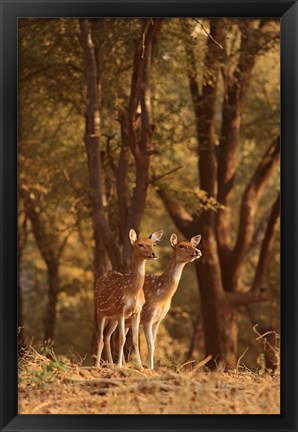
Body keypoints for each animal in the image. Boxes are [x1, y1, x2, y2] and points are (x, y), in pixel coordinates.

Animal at [95, 228, 163, 366]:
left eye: (153, 244)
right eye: (140, 244)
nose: (154, 254)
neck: (133, 292)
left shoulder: (136, 312)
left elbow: (135, 340)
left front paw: (140, 366)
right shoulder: (121, 309)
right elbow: (122, 339)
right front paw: (120, 366)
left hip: (112, 318)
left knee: (107, 336)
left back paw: (110, 365)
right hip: (100, 311)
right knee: (100, 336)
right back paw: (97, 365)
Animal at [105, 235, 203, 370]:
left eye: (193, 244)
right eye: (181, 246)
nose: (197, 252)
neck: (162, 296)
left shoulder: (158, 320)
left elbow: (154, 345)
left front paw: (150, 367)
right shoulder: (147, 316)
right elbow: (150, 345)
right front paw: (150, 368)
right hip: (115, 316)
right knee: (108, 335)